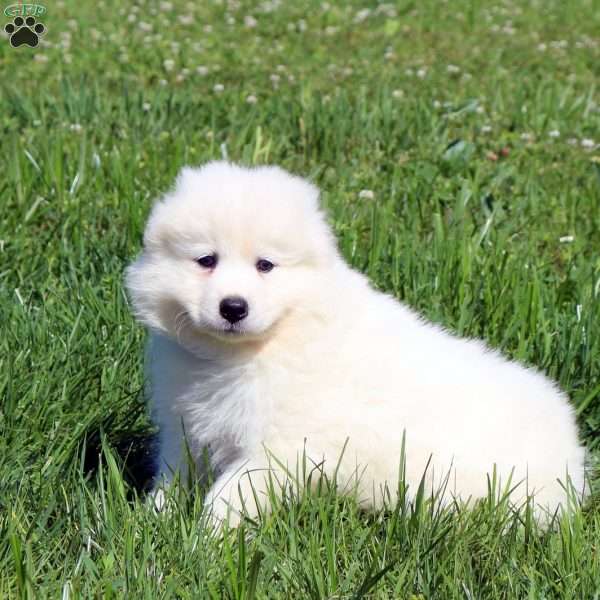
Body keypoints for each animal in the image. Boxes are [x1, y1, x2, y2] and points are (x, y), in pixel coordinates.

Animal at [126, 162, 584, 528]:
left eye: (265, 265)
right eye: (206, 260)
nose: (233, 307)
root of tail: (574, 456)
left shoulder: (277, 446)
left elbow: (229, 495)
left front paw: (205, 540)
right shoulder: (185, 425)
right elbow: (173, 473)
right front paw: (154, 519)